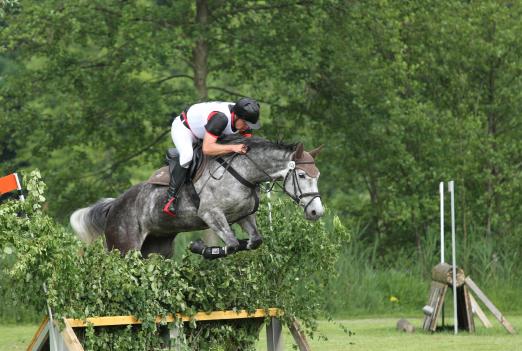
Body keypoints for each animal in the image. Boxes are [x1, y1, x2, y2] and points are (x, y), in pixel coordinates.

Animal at [69, 136, 320, 260]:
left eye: (317, 176)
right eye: (301, 175)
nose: (316, 212)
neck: (244, 173)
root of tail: (114, 206)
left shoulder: (242, 215)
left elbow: (254, 241)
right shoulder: (211, 214)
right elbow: (230, 244)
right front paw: (201, 247)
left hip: (156, 250)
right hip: (123, 248)